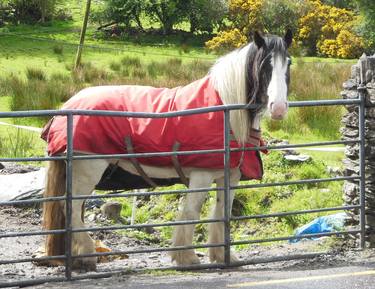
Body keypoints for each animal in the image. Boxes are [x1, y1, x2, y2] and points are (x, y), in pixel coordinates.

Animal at [41, 31, 294, 270]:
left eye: (288, 63)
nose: (279, 108)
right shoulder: (201, 176)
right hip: (87, 172)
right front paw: (187, 257)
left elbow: (223, 213)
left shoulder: (228, 177)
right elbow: (191, 213)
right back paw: (87, 254)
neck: (226, 111)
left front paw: (223, 255)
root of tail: (68, 105)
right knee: (71, 208)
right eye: (265, 64)